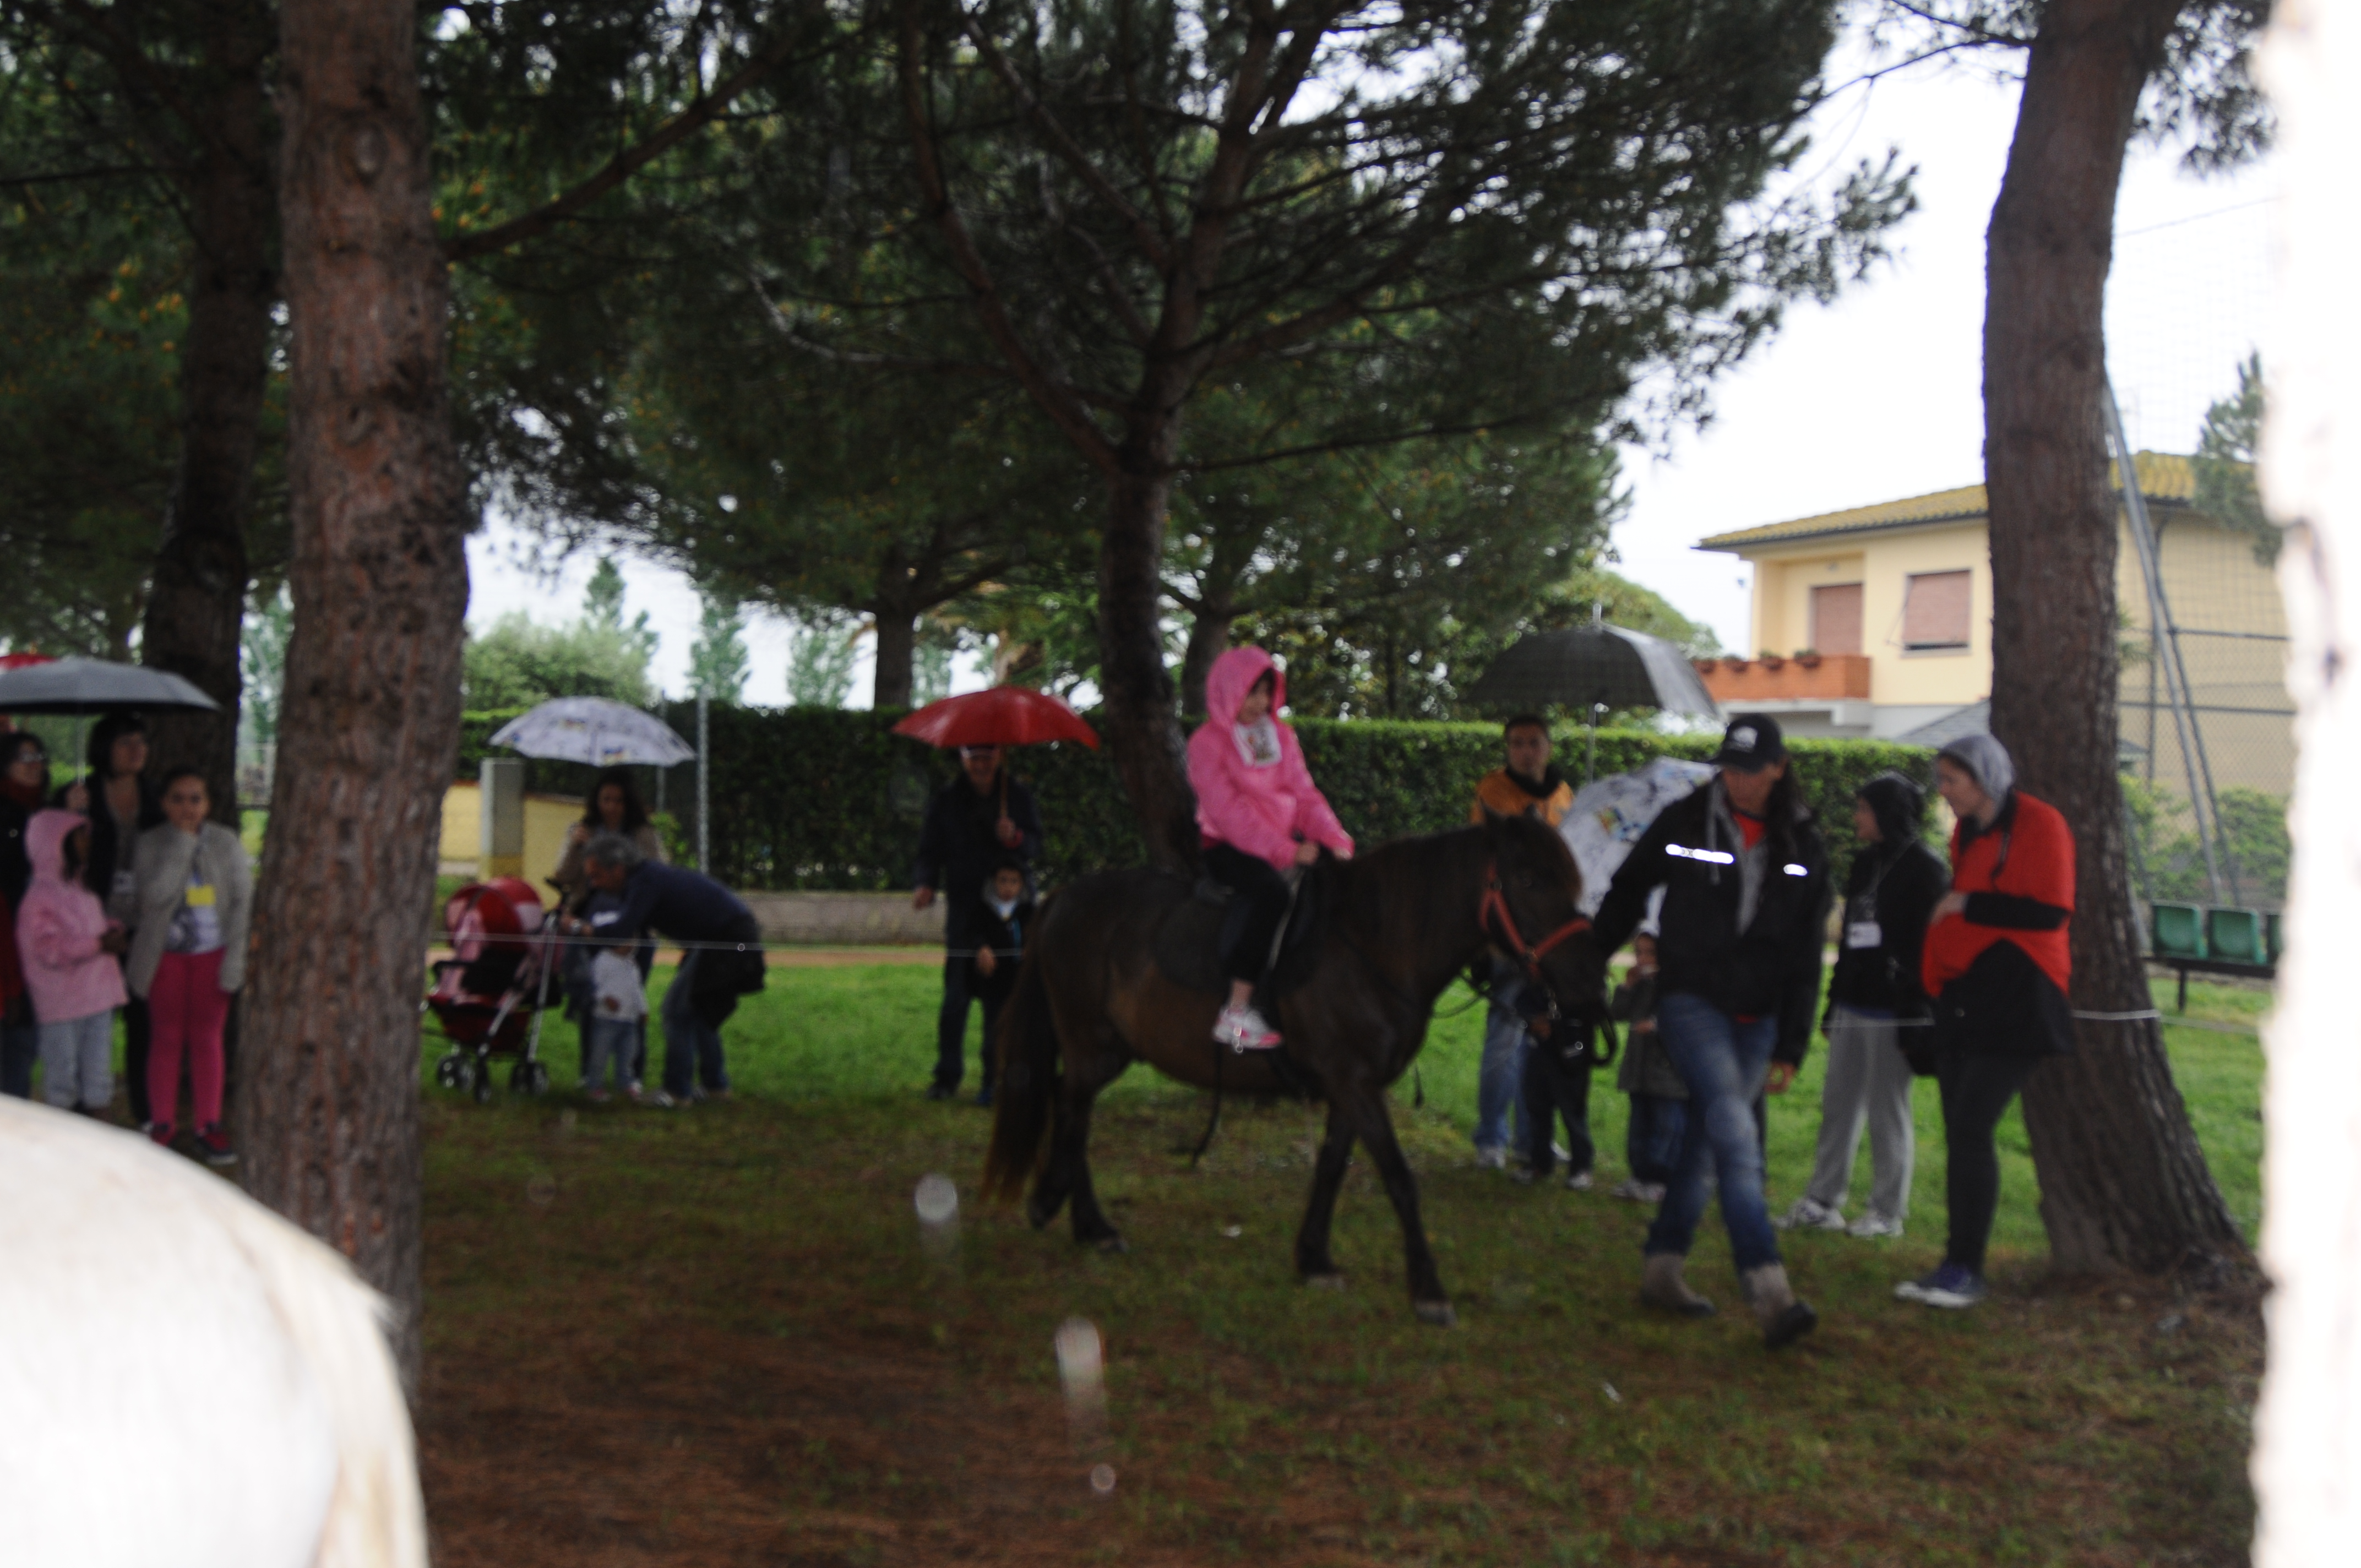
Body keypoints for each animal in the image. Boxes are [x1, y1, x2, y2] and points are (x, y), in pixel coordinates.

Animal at [982, 809, 1610, 1325]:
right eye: (1529, 881)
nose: (1589, 984)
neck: (1373, 945)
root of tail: (1063, 896)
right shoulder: (1355, 1083)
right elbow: (1399, 1178)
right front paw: (1429, 1290)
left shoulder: (1351, 1086)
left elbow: (1331, 1168)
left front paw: (1313, 1258)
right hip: (1090, 1042)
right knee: (1070, 1106)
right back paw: (1063, 1208)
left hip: (1108, 1048)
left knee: (1071, 1106)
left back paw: (1086, 1222)